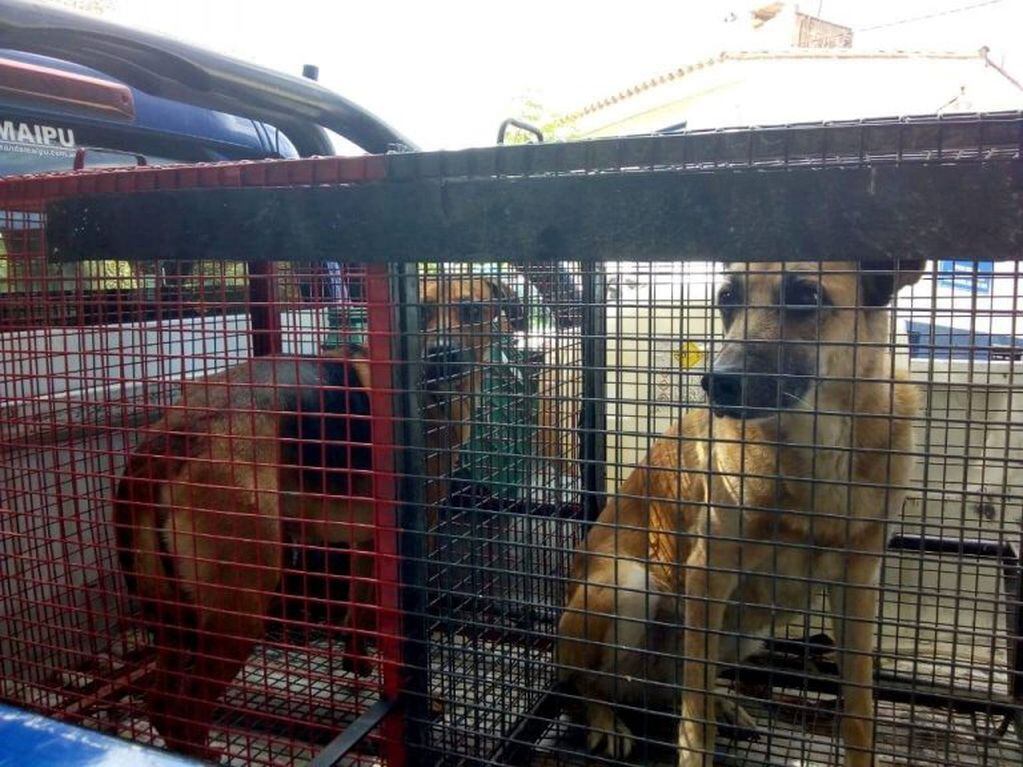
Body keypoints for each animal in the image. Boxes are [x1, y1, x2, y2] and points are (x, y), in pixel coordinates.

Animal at [116, 274, 523, 760]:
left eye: (473, 310)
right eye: (419, 313)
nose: (441, 354)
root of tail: (172, 435)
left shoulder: (367, 543)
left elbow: (359, 612)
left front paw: (358, 664)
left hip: (172, 613)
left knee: (161, 702)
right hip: (242, 599)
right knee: (186, 710)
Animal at [560, 261, 928, 764]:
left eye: (806, 296)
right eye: (727, 297)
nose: (716, 382)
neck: (820, 444)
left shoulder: (857, 586)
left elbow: (858, 714)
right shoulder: (707, 575)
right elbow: (696, 722)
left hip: (741, 632)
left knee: (678, 687)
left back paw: (724, 704)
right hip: (628, 586)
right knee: (591, 685)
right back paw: (605, 720)